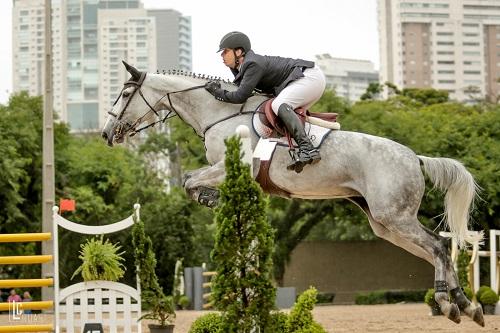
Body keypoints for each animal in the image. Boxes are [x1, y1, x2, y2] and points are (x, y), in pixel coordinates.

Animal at [100, 62, 484, 326]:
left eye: (124, 95)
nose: (106, 133)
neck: (218, 114)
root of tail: (414, 157)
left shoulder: (230, 167)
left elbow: (189, 180)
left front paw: (209, 199)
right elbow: (191, 180)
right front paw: (211, 200)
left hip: (395, 217)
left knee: (438, 245)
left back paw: (449, 303)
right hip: (384, 223)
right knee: (438, 249)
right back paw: (468, 305)